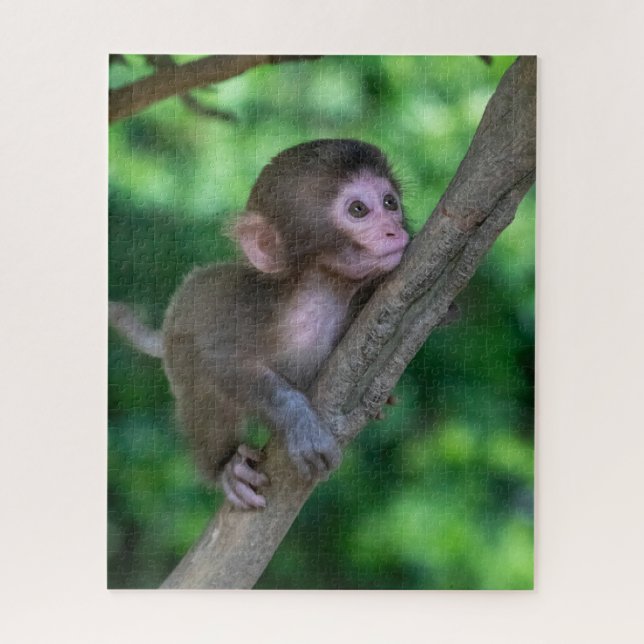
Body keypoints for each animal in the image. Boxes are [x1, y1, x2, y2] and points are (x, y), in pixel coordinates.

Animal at [110, 139, 410, 510]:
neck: (319, 296)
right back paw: (226, 468)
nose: (395, 230)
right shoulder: (248, 315)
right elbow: (221, 362)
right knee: (203, 391)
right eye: (358, 209)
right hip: (179, 352)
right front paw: (298, 421)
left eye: (390, 202)